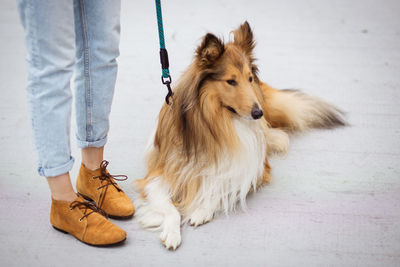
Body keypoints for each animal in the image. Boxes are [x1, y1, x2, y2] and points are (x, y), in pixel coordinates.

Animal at [134, 21, 344, 251]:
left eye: (249, 78)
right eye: (231, 81)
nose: (258, 113)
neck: (217, 123)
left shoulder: (252, 171)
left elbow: (223, 188)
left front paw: (201, 210)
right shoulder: (159, 175)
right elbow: (170, 208)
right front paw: (172, 233)